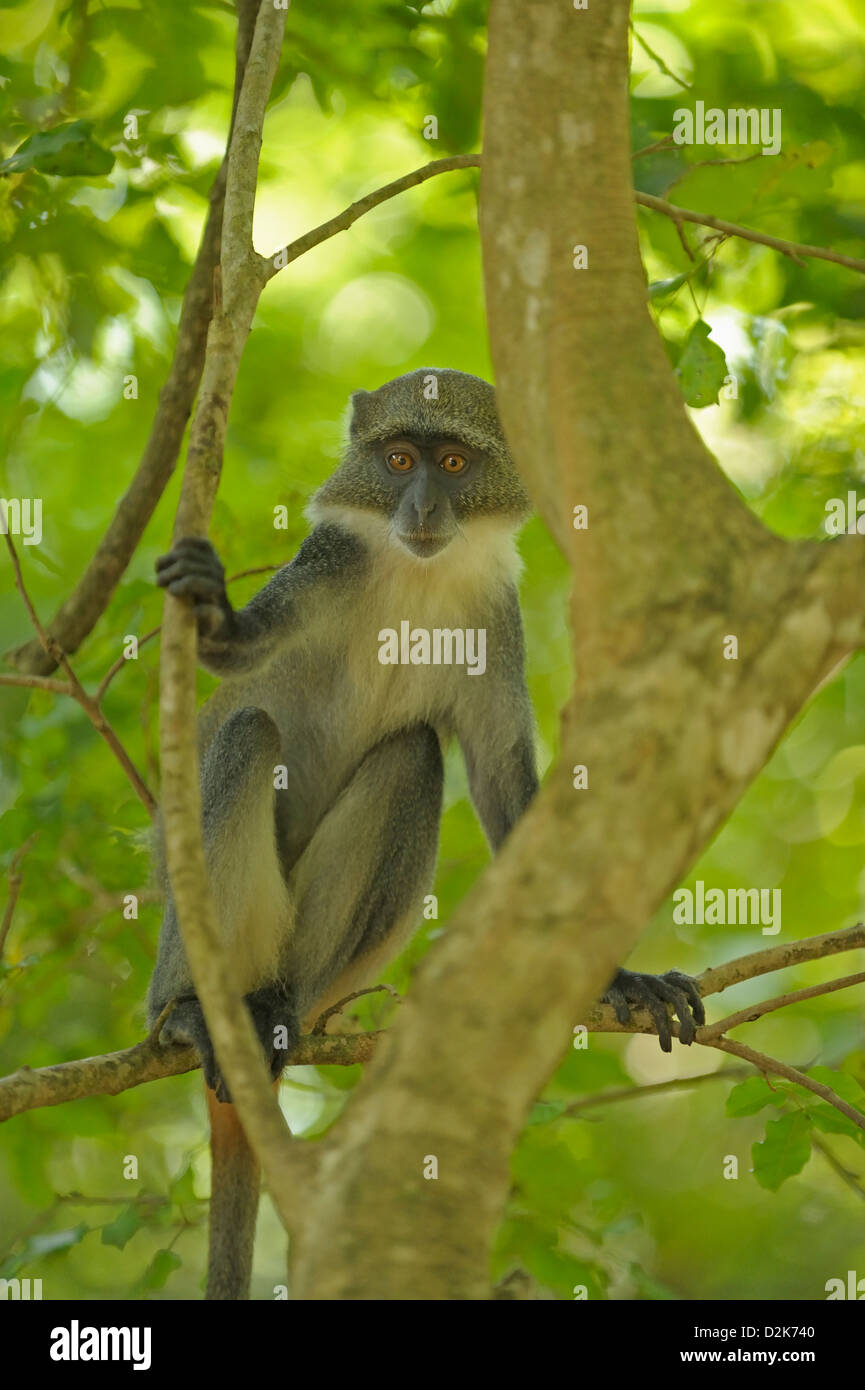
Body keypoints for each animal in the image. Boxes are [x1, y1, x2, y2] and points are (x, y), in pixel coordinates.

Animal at [147, 372, 706, 1301]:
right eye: (398, 460)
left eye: (451, 464)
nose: (419, 505)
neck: (423, 576)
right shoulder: (326, 565)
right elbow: (236, 661)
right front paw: (214, 608)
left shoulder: (495, 622)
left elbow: (502, 785)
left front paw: (620, 977)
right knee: (245, 735)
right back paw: (190, 1013)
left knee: (410, 755)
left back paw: (277, 1011)